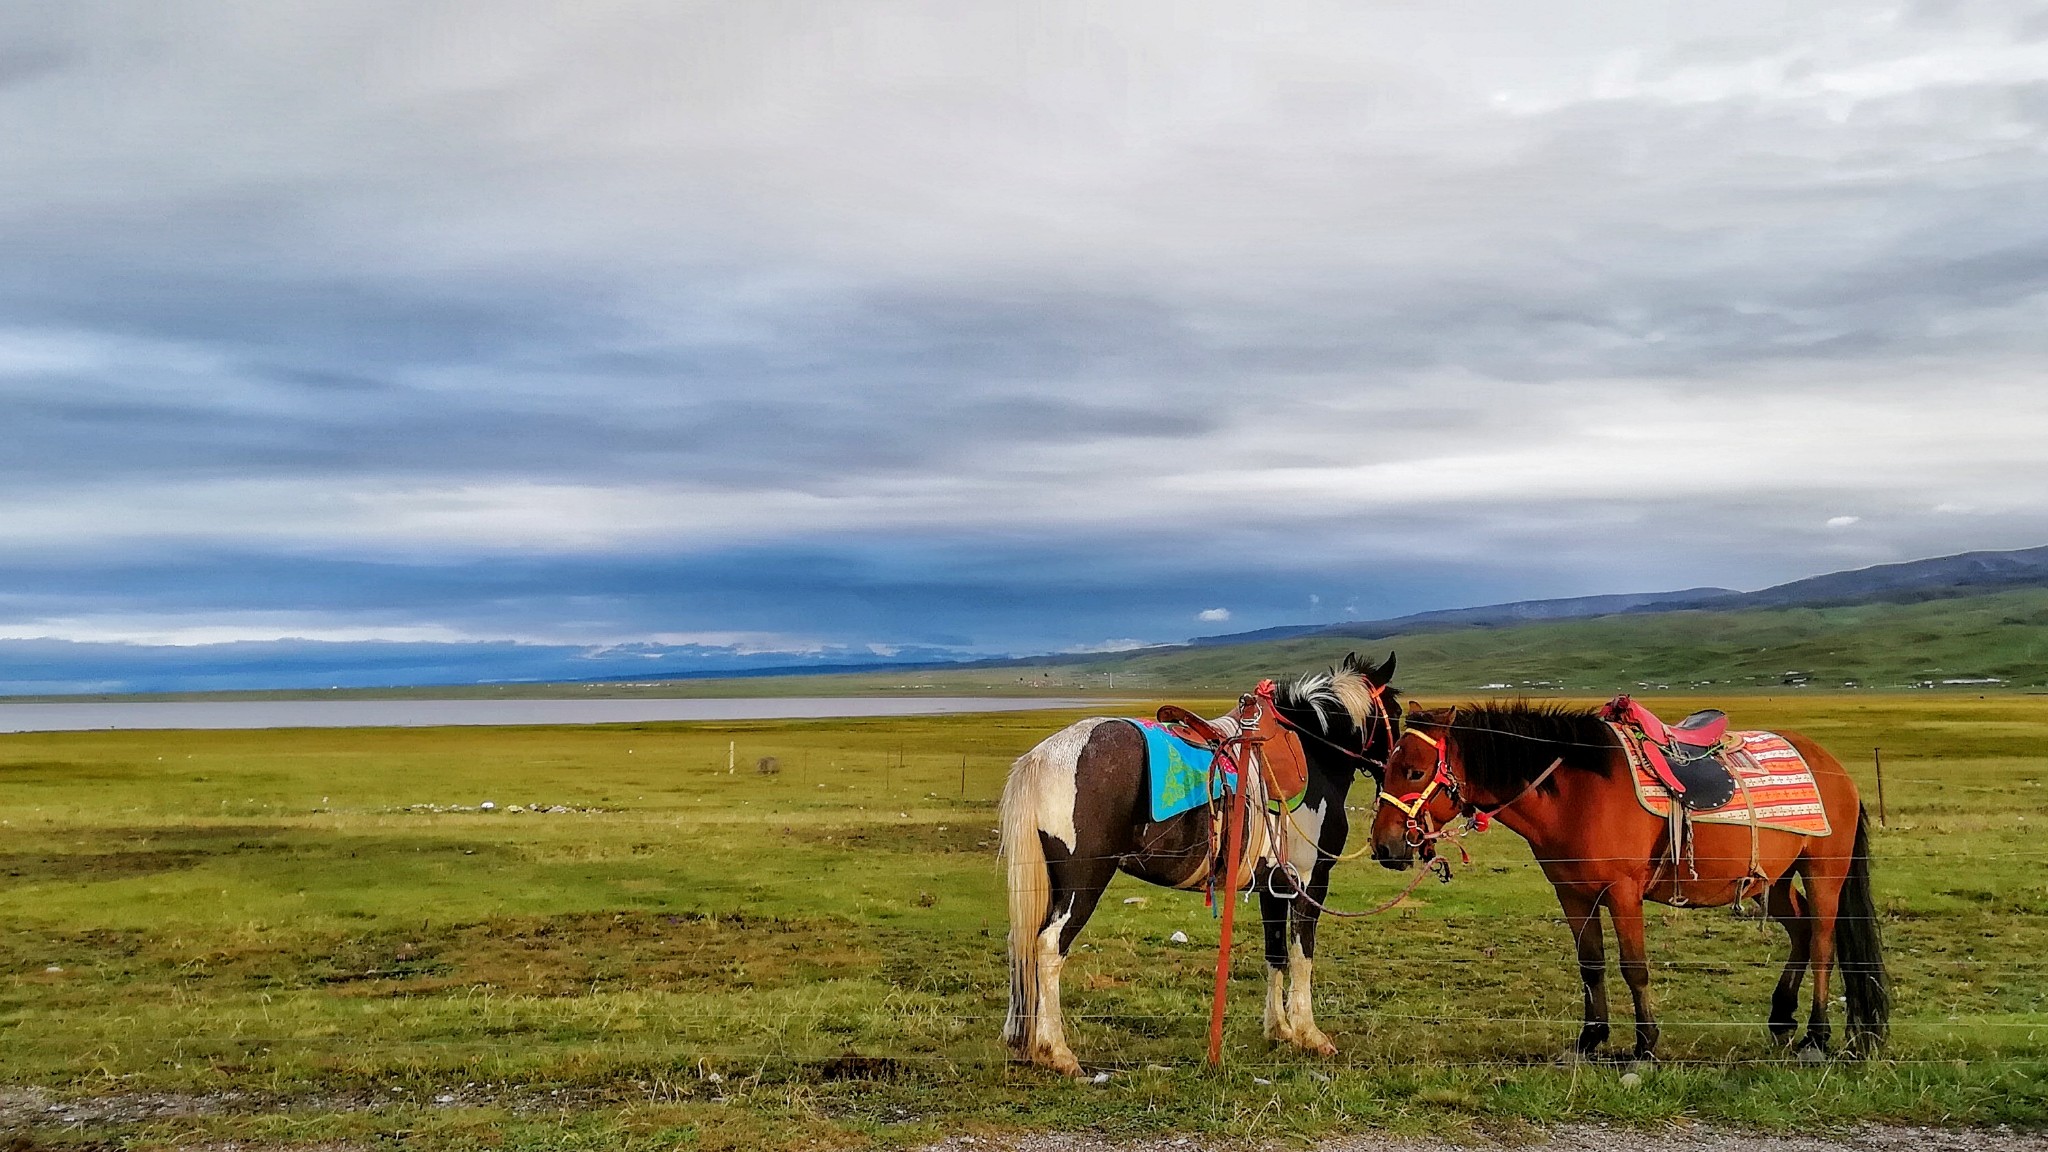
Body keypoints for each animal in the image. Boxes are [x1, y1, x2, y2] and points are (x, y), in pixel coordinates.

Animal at [999, 651, 1400, 1074]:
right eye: (1396, 712)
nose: (1391, 772)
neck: (1312, 752)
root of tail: (1043, 758)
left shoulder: (1274, 885)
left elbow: (1276, 953)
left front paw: (1280, 1030)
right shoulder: (1310, 880)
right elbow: (1302, 954)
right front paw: (1310, 1034)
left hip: (1050, 883)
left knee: (1021, 942)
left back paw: (1024, 1041)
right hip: (1085, 880)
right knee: (1049, 946)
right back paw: (1057, 1051)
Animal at [1368, 696, 1875, 1057]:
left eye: (1413, 770)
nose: (1385, 847)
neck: (1577, 792)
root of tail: (1836, 768)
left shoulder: (1623, 892)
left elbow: (1635, 966)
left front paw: (1645, 1045)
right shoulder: (1573, 894)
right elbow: (1591, 964)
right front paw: (1590, 1039)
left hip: (1823, 873)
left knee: (1824, 941)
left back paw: (1816, 1037)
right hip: (1772, 880)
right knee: (1803, 931)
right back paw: (1782, 1018)